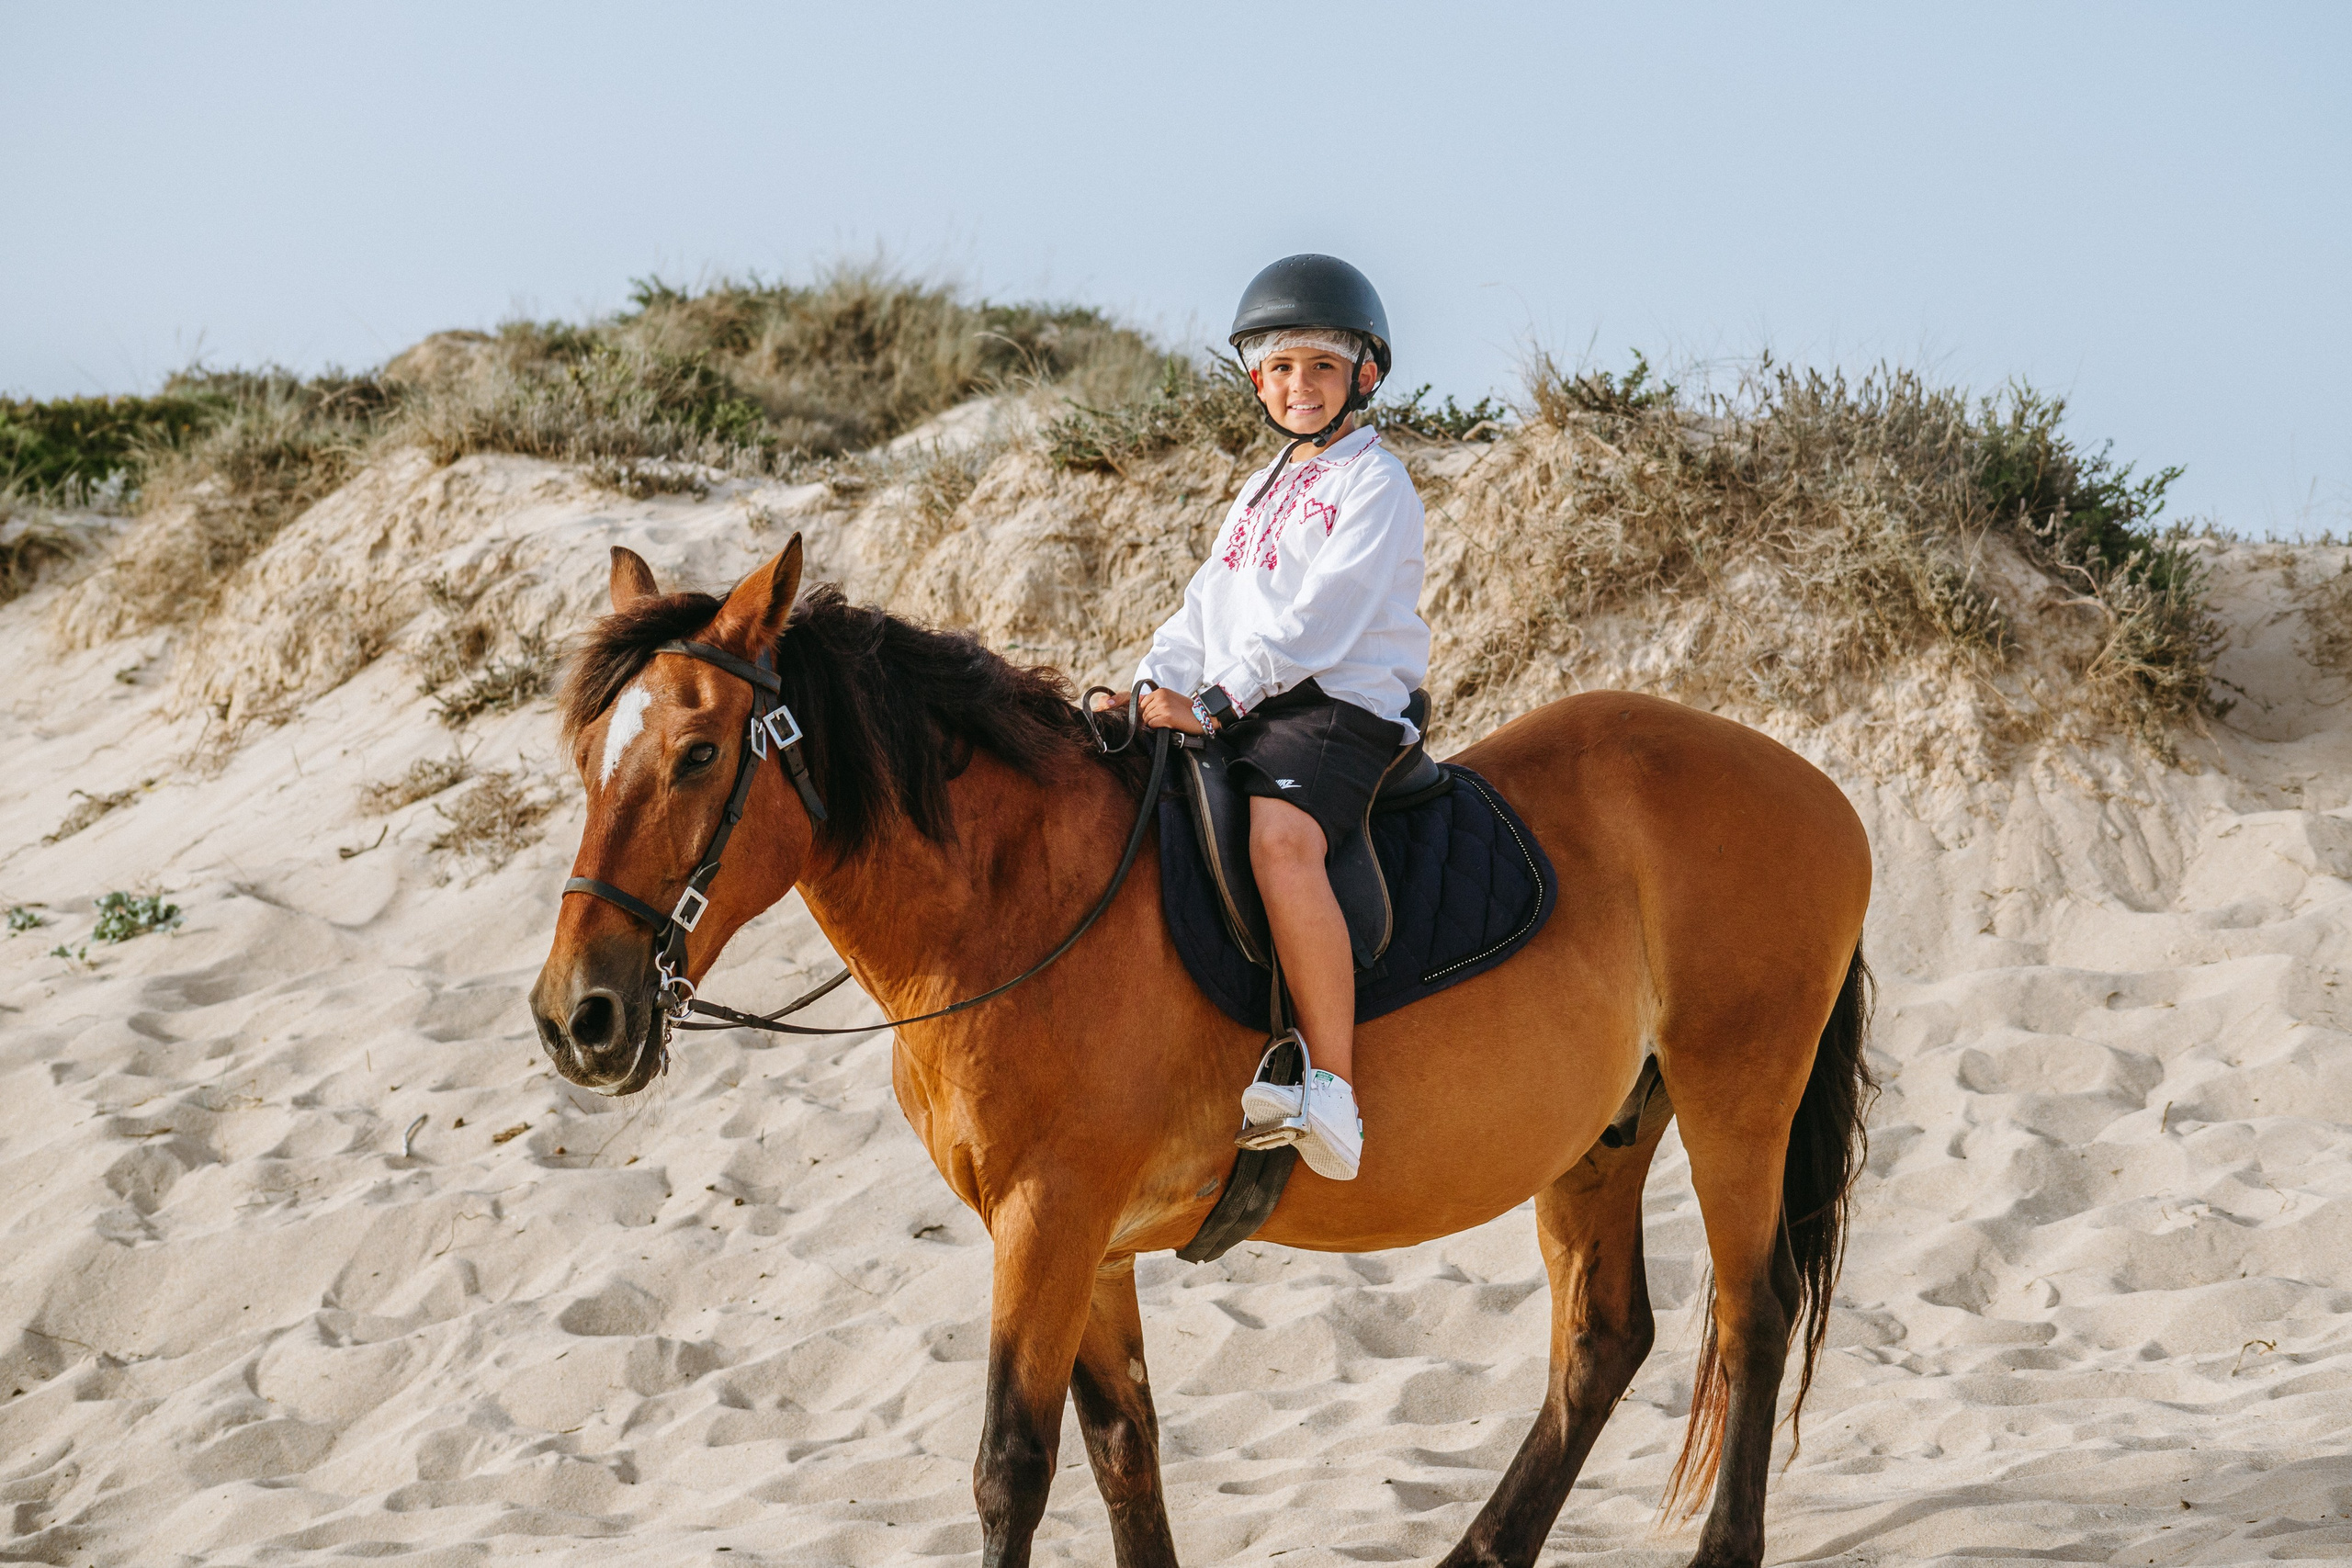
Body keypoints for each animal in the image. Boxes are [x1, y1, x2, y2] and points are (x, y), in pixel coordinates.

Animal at [529, 535, 1875, 1568]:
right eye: (588, 757)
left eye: (700, 755)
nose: (576, 1017)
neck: (1015, 902)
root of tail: (1814, 787)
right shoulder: (1087, 1242)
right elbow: (1124, 1449)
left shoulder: (1049, 1219)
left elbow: (1010, 1465)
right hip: (1601, 1135)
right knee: (1601, 1340)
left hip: (1735, 1098)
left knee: (1751, 1313)